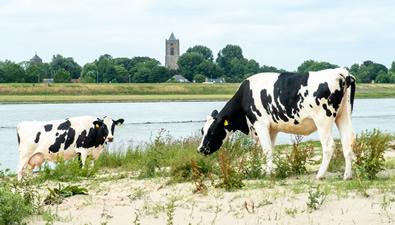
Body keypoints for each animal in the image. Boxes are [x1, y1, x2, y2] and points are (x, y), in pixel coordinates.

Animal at [200, 67, 358, 180]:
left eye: (212, 131)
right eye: (203, 131)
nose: (200, 149)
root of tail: (341, 71)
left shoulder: (260, 124)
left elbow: (266, 150)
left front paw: (268, 173)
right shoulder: (272, 129)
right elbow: (270, 149)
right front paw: (269, 170)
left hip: (323, 119)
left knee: (329, 145)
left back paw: (319, 175)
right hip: (343, 115)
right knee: (347, 140)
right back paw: (347, 175)